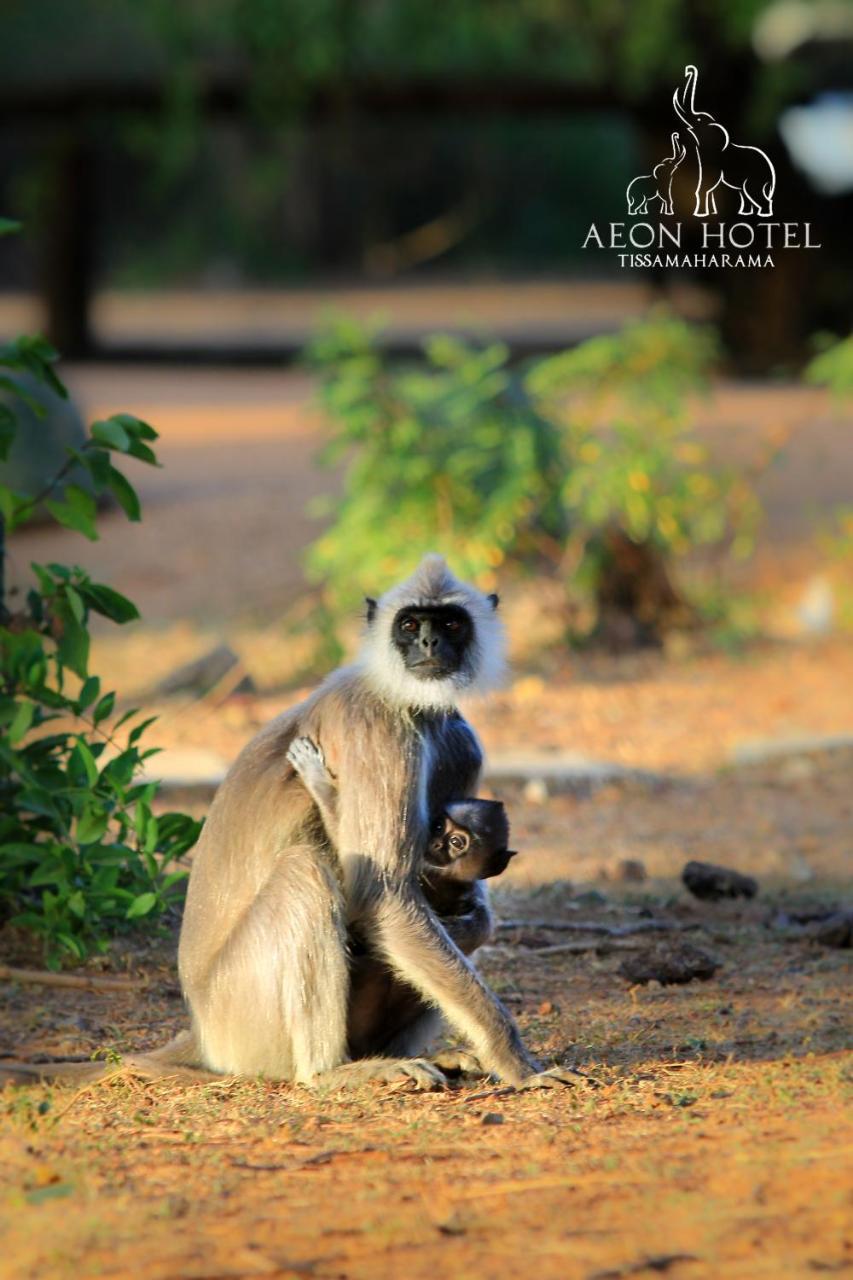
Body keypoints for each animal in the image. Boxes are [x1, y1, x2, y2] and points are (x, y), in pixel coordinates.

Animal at [3, 555, 571, 1085]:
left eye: (450, 623)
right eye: (410, 624)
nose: (429, 641)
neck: (406, 701)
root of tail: (201, 1028)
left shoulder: (459, 739)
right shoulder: (377, 726)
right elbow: (383, 891)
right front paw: (517, 1063)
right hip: (243, 1013)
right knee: (305, 873)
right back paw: (332, 1072)